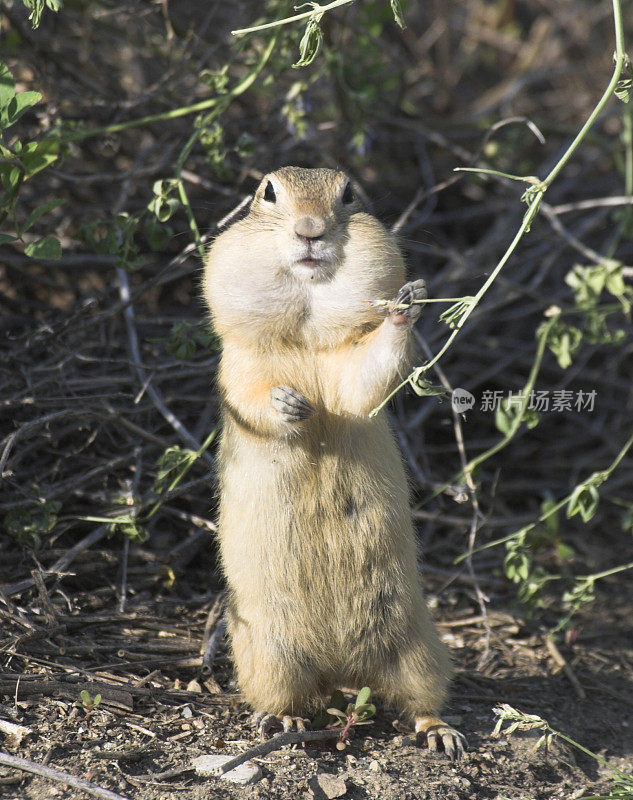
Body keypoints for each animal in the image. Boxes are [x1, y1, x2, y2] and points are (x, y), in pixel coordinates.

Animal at [205, 166, 466, 760]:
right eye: (268, 193)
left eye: (348, 194)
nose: (309, 230)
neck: (306, 331)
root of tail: (342, 670)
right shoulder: (239, 364)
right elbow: (251, 398)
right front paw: (290, 405)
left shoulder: (349, 366)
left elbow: (365, 378)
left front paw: (406, 305)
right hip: (269, 655)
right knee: (289, 697)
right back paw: (285, 721)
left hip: (419, 649)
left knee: (420, 699)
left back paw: (441, 733)